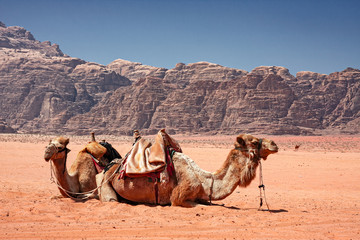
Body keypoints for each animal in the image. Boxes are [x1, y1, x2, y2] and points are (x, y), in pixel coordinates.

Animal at [97, 132, 278, 207]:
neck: (205, 180)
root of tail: (111, 166)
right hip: (106, 183)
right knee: (111, 199)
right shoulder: (179, 197)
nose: (274, 144)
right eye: (253, 141)